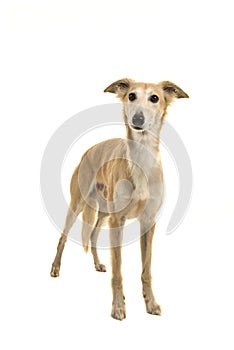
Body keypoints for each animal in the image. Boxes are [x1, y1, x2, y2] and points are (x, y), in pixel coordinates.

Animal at [49, 78, 188, 320]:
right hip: (78, 205)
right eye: (131, 95)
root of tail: (88, 151)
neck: (140, 161)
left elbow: (146, 270)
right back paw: (55, 268)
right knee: (63, 238)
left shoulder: (148, 222)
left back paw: (97, 264)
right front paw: (118, 306)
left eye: (155, 98)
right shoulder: (118, 221)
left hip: (104, 211)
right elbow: (118, 271)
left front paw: (150, 303)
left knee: (93, 236)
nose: (137, 120)